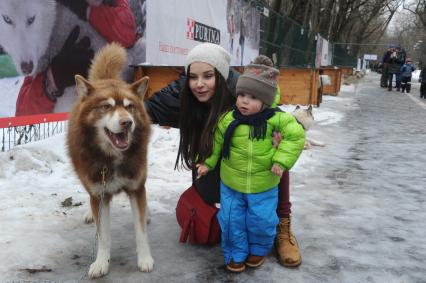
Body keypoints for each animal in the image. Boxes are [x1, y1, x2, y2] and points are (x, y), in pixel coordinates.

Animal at [67, 43, 152, 278]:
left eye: (130, 106)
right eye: (106, 106)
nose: (127, 122)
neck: (112, 158)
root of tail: (105, 78)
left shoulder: (136, 188)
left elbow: (140, 231)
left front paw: (145, 258)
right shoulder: (99, 194)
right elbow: (103, 236)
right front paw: (101, 262)